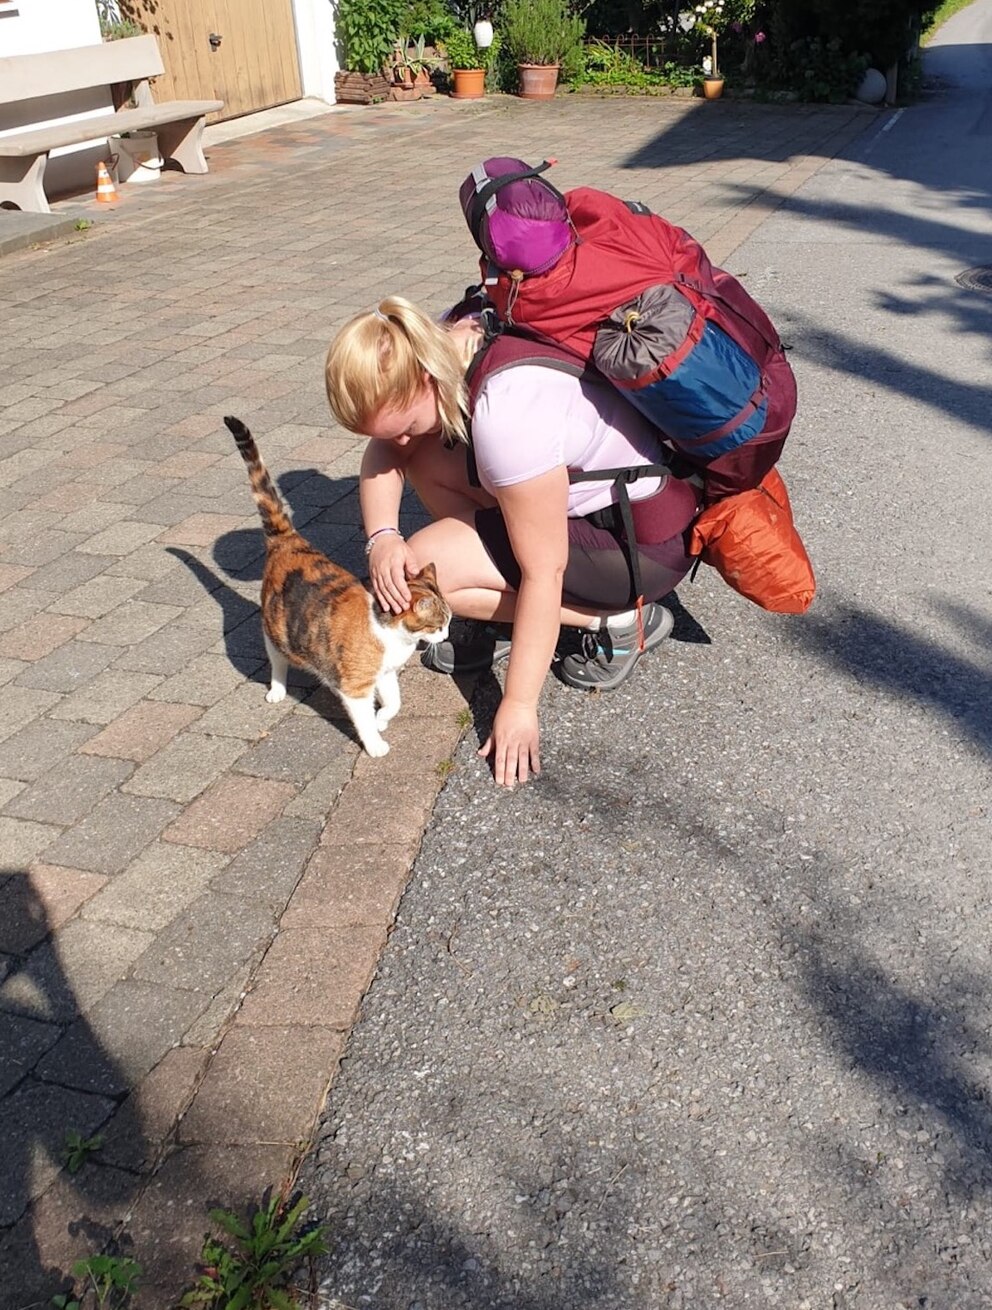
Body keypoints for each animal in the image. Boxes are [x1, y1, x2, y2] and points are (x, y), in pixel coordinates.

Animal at [224, 408, 448, 759]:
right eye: (438, 625)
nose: (447, 635)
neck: (392, 636)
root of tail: (289, 540)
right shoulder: (355, 686)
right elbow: (363, 719)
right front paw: (375, 742)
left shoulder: (384, 673)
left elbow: (395, 701)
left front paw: (383, 717)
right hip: (276, 631)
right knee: (277, 660)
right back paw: (277, 689)